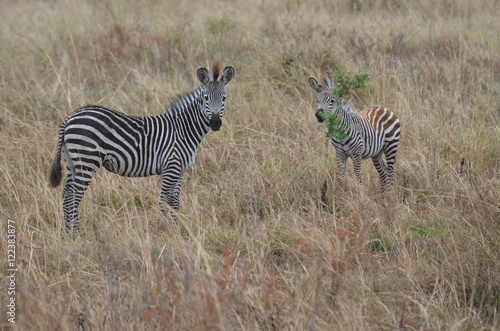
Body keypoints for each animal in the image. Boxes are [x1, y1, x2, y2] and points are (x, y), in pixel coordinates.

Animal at [48, 60, 234, 236]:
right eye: (205, 98)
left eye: (224, 98)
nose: (215, 123)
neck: (183, 130)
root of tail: (69, 118)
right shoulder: (171, 167)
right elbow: (165, 201)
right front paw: (165, 232)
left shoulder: (180, 171)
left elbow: (175, 203)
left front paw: (175, 230)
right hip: (87, 161)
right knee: (73, 196)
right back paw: (76, 235)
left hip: (72, 161)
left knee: (66, 195)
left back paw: (68, 234)